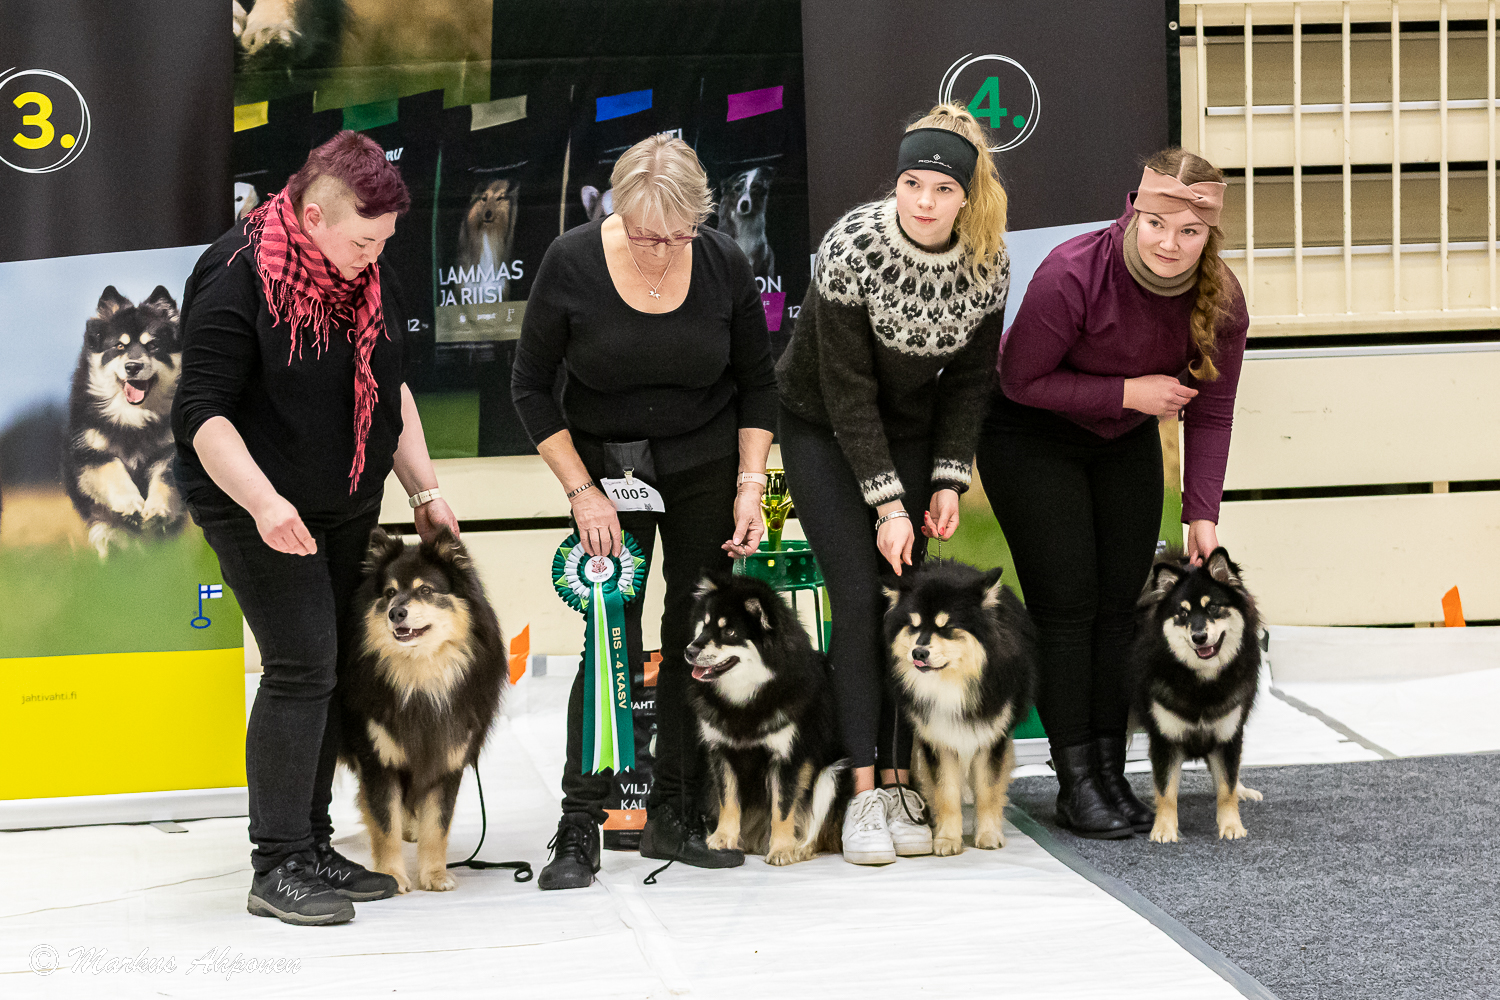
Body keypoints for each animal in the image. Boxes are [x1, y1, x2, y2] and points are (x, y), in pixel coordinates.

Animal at [339, 527, 504, 893]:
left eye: (426, 590)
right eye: (389, 593)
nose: (395, 613)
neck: (420, 679)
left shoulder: (447, 758)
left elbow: (436, 825)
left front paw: (435, 875)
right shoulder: (378, 760)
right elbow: (384, 824)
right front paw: (392, 875)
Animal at [882, 560, 1038, 857]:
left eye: (947, 626)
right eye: (913, 626)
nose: (918, 653)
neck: (951, 683)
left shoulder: (991, 736)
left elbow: (987, 791)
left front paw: (988, 834)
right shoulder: (938, 740)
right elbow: (946, 793)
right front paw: (946, 838)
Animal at [1128, 548, 1260, 845]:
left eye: (1213, 608)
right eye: (1183, 613)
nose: (1199, 636)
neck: (1202, 682)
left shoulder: (1228, 734)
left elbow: (1227, 786)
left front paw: (1231, 825)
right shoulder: (1165, 739)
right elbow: (1166, 791)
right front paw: (1164, 829)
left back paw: (1244, 790)